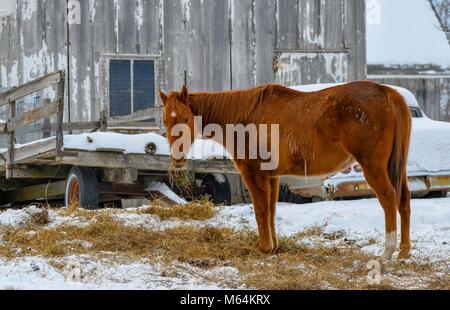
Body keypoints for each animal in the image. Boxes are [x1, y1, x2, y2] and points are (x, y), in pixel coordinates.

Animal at [159, 81, 412, 260]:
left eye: (186, 118)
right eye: (165, 120)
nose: (177, 159)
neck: (244, 118)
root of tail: (388, 93)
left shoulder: (254, 174)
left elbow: (261, 210)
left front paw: (264, 248)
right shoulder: (272, 177)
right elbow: (271, 211)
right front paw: (274, 247)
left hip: (373, 167)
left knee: (389, 198)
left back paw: (387, 252)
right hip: (395, 167)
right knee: (403, 200)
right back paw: (404, 251)